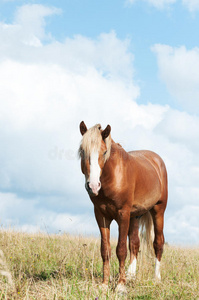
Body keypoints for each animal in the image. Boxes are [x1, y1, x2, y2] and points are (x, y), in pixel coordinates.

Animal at [78, 120, 167, 292]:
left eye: (104, 152)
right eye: (83, 151)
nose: (93, 186)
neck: (113, 175)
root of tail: (156, 160)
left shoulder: (122, 214)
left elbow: (121, 249)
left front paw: (120, 286)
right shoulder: (101, 216)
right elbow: (105, 250)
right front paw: (105, 284)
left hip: (158, 211)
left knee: (158, 243)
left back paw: (157, 279)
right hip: (135, 216)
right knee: (135, 244)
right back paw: (131, 276)